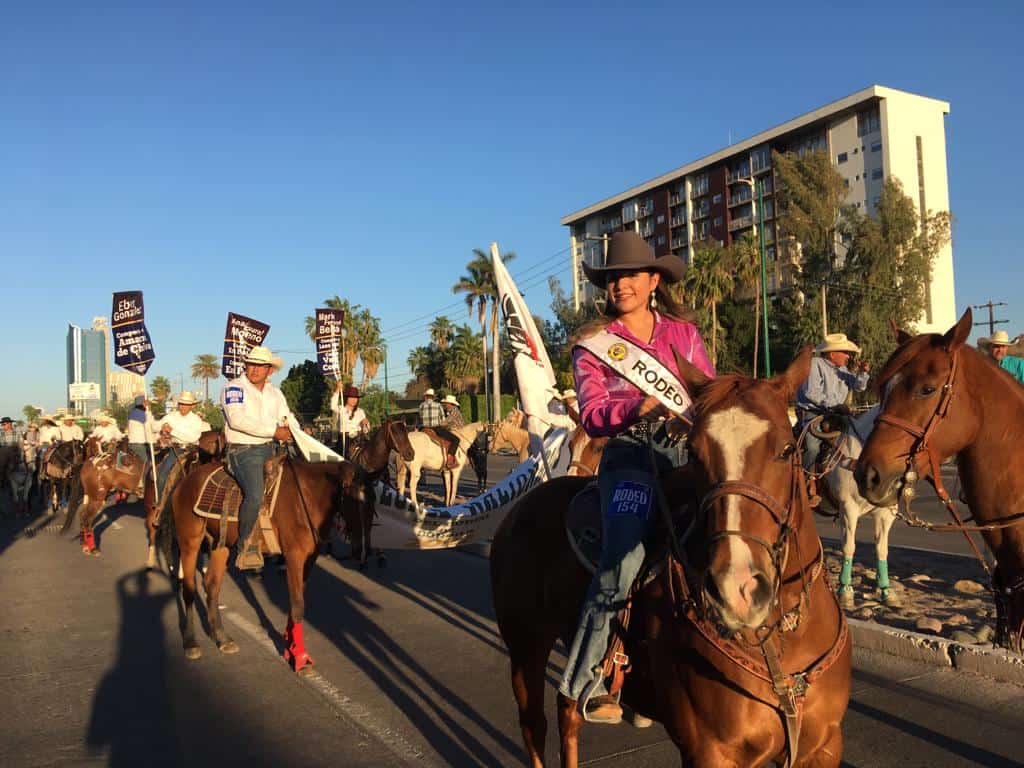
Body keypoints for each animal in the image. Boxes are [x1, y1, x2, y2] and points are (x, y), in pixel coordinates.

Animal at [162, 450, 364, 671]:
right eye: (355, 499)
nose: (360, 548)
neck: (306, 497)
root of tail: (184, 481)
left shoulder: (309, 560)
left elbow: (295, 601)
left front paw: (289, 646)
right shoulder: (294, 555)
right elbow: (298, 605)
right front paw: (299, 658)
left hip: (220, 545)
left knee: (212, 586)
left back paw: (222, 638)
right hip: (189, 541)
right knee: (189, 588)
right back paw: (191, 643)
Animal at [491, 350, 851, 768]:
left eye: (787, 450)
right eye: (694, 453)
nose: (737, 590)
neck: (780, 637)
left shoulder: (824, 747)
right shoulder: (711, 753)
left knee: (568, 712)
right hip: (525, 647)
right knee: (535, 725)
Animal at [811, 405, 901, 610]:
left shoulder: (885, 514)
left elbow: (881, 549)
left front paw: (886, 591)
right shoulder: (848, 509)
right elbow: (849, 547)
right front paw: (845, 590)